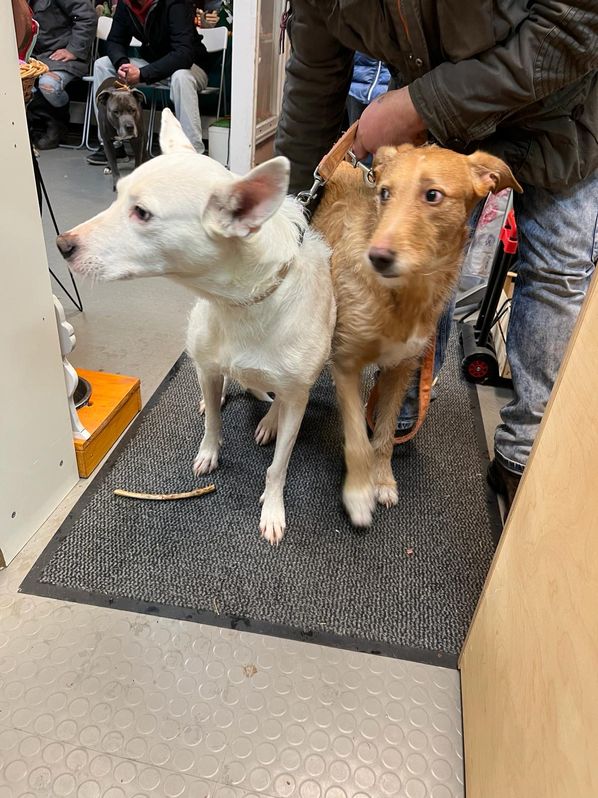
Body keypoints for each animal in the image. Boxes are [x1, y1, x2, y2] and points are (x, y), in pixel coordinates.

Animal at [56, 109, 335, 545]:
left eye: (142, 213)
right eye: (117, 194)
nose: (62, 245)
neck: (237, 305)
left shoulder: (296, 396)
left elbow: (278, 466)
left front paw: (273, 508)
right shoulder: (207, 365)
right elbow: (213, 424)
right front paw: (209, 449)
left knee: (281, 399)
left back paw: (270, 419)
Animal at [312, 143, 522, 527]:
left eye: (433, 195)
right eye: (384, 193)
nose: (377, 257)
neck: (403, 294)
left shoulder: (400, 369)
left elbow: (382, 435)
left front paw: (382, 480)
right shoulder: (347, 363)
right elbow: (358, 439)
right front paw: (359, 493)